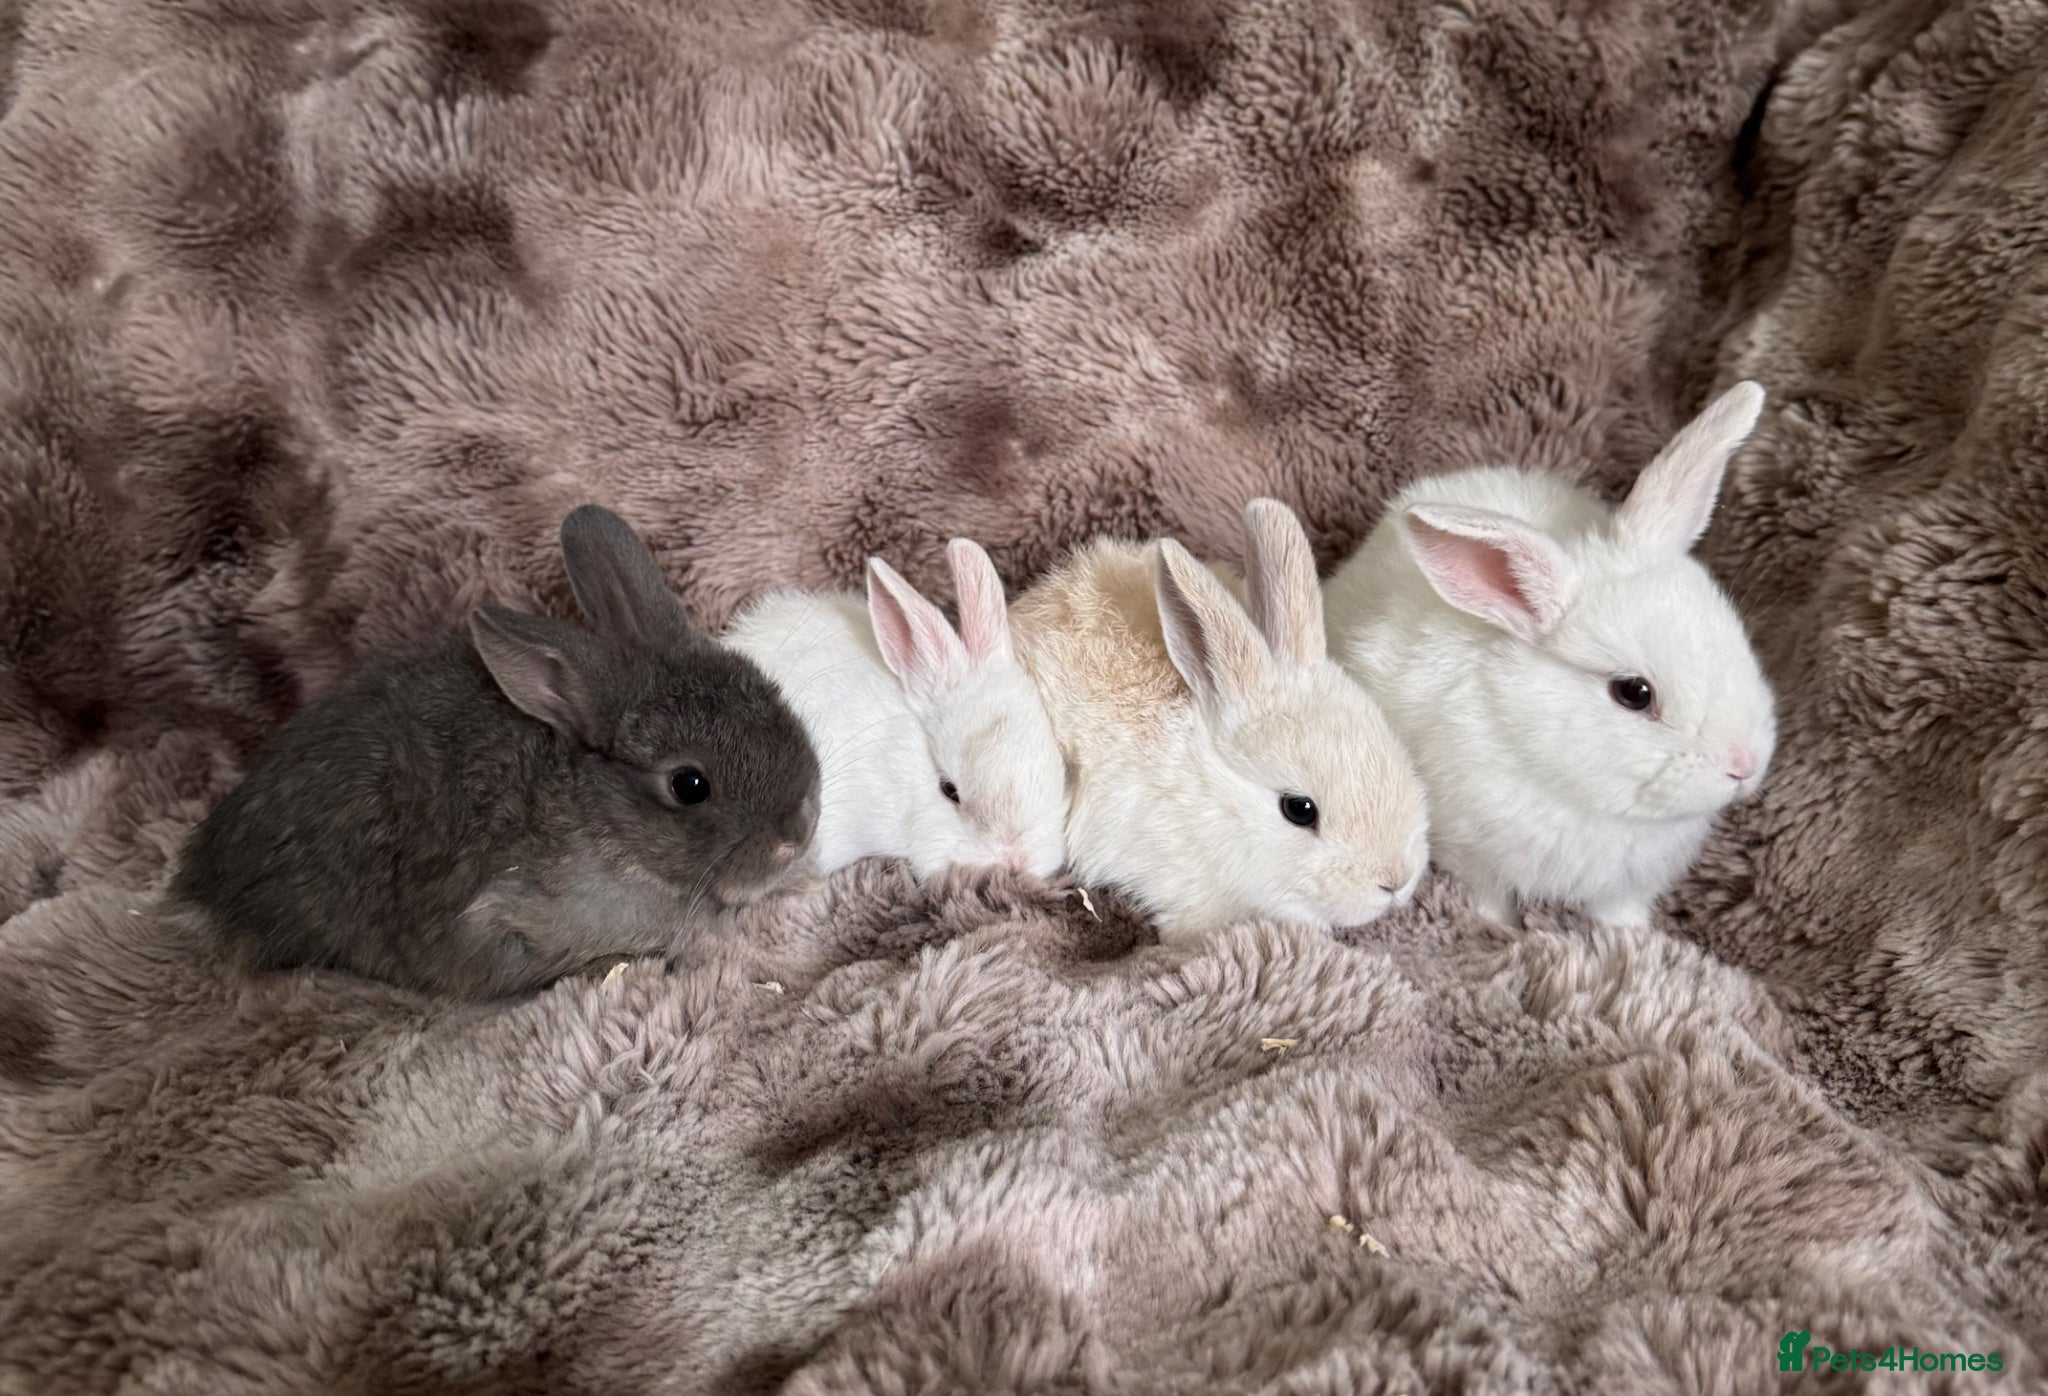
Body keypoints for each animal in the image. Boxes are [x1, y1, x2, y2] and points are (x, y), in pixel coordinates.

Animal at [169, 504, 822, 1000]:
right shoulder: (497, 920)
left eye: (770, 692)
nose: (799, 828)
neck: (600, 814)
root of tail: (203, 871)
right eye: (689, 785)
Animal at [1321, 380, 1778, 932]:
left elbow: (1619, 915)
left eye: (1735, 637)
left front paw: (1632, 940)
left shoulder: (1627, 882)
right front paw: (1505, 933)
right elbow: (1489, 898)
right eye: (1634, 693)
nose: (1745, 765)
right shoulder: (1472, 852)